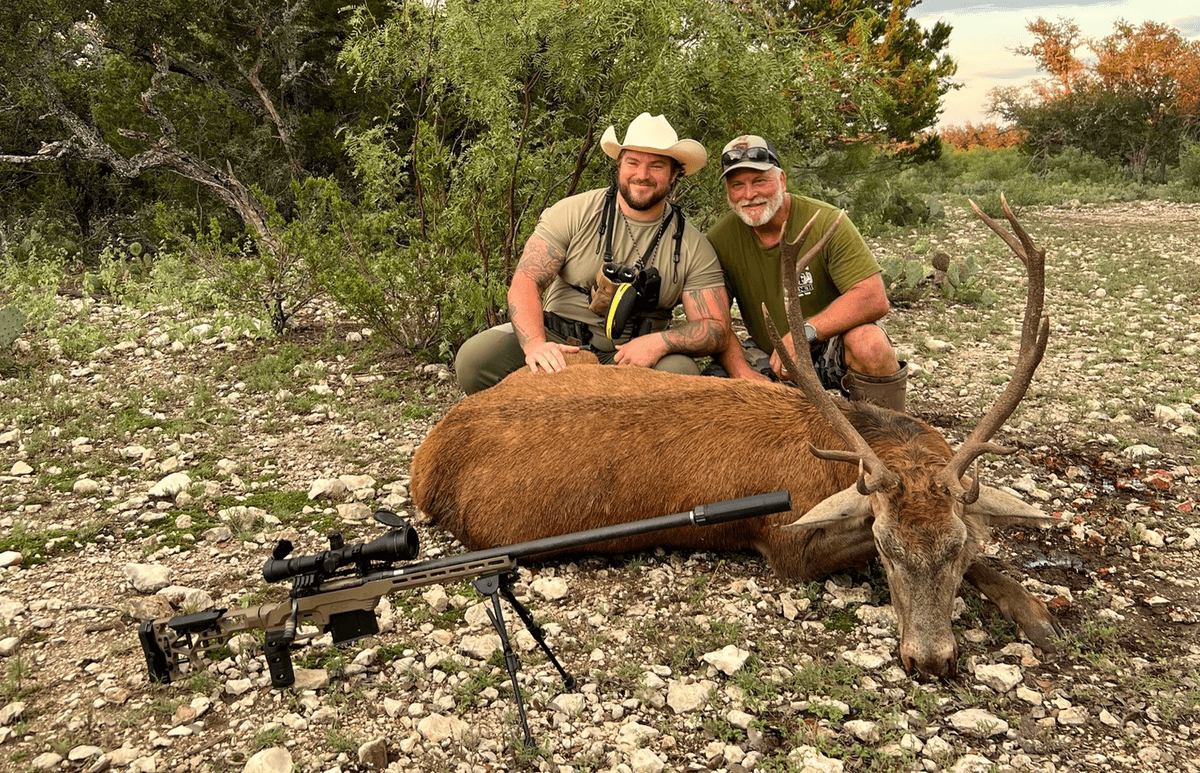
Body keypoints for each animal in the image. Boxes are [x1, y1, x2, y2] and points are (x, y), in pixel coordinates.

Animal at [411, 196, 1061, 679]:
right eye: (885, 547)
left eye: (955, 547)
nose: (930, 660)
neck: (841, 450)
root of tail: (424, 465)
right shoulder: (786, 545)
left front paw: (1038, 615)